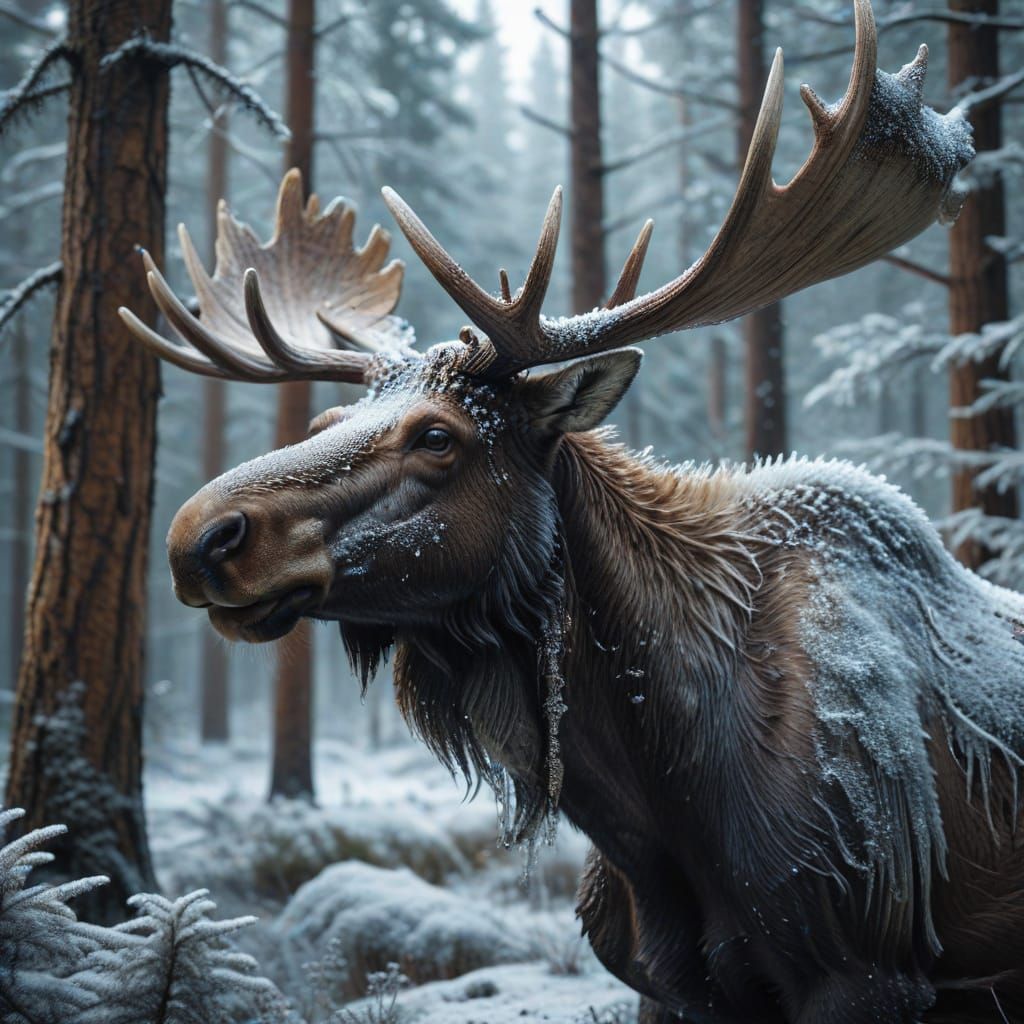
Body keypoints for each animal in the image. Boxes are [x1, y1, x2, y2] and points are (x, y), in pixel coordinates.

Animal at [120, 3, 1024, 1021]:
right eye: (321, 421)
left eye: (439, 436)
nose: (199, 536)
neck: (653, 796)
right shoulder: (667, 985)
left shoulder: (866, 968)